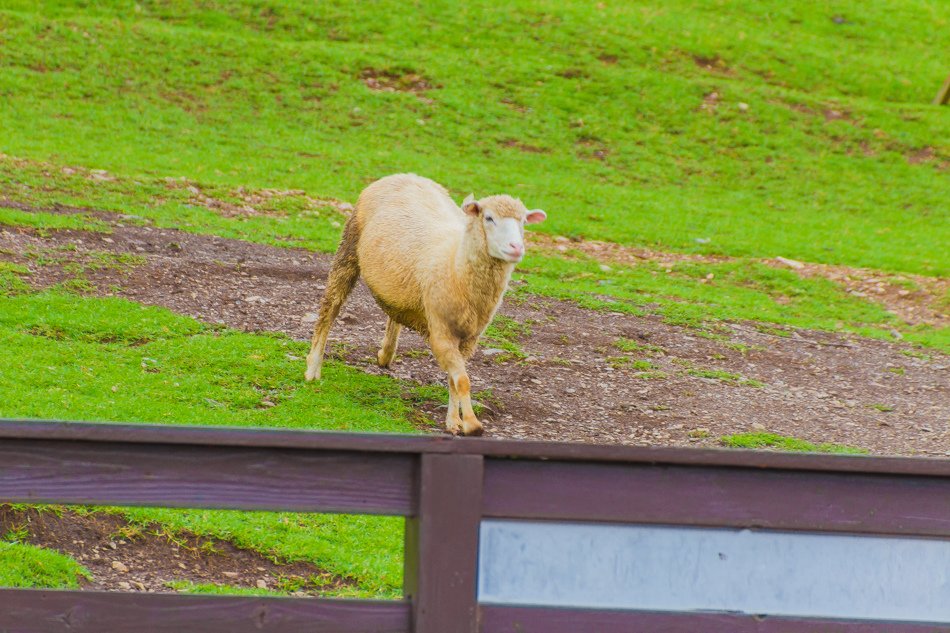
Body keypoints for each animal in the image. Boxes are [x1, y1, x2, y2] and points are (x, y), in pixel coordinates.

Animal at [302, 175, 548, 436]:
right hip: (349, 245)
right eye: (489, 218)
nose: (516, 248)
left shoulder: (469, 338)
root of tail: (405, 174)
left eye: (523, 222)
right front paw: (472, 423)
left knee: (393, 313)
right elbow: (462, 380)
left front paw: (454, 420)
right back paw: (313, 368)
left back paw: (385, 354)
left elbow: (454, 380)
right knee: (330, 308)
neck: (456, 265)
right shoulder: (441, 331)